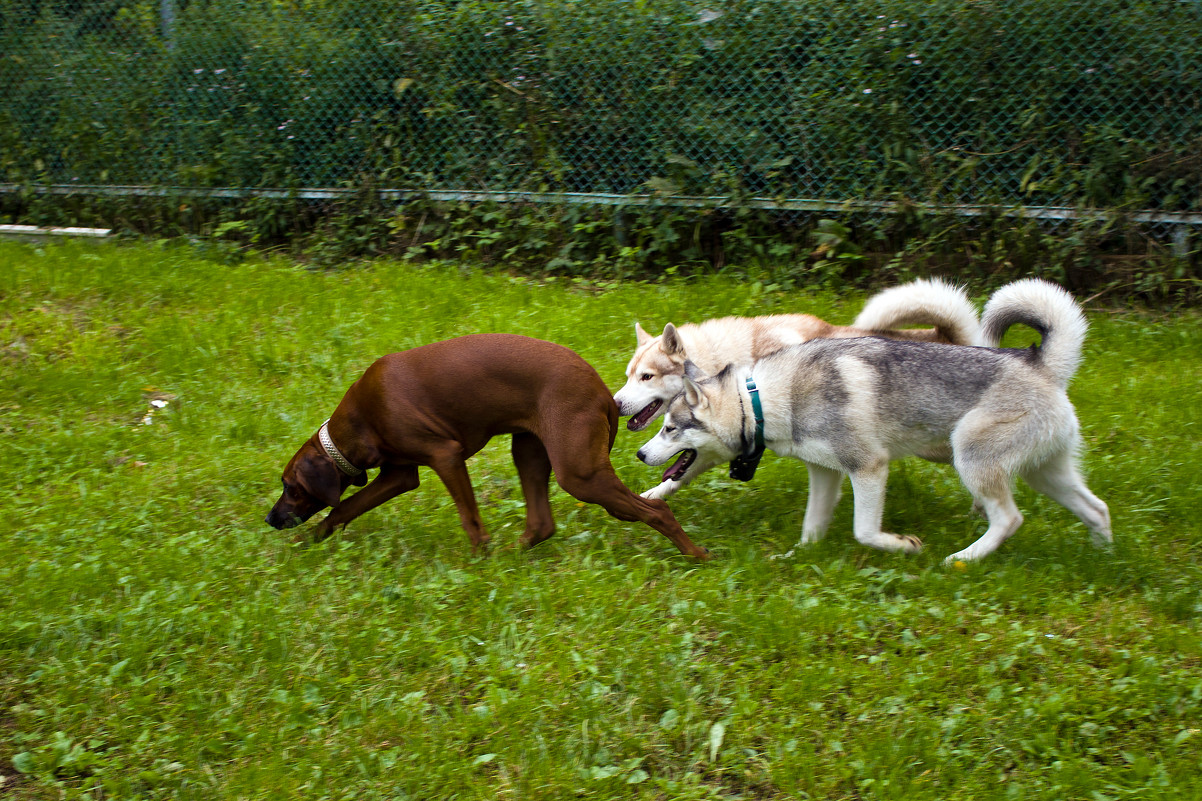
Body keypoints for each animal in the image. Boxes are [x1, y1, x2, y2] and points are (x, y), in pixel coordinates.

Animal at [265, 329, 711, 555]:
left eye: (291, 488)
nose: (271, 519)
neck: (363, 415)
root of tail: (605, 392)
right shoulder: (400, 474)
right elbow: (345, 507)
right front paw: (311, 539)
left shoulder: (445, 456)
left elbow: (471, 519)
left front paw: (479, 557)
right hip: (529, 451)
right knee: (543, 523)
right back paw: (515, 554)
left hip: (578, 472)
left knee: (657, 510)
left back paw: (695, 554)